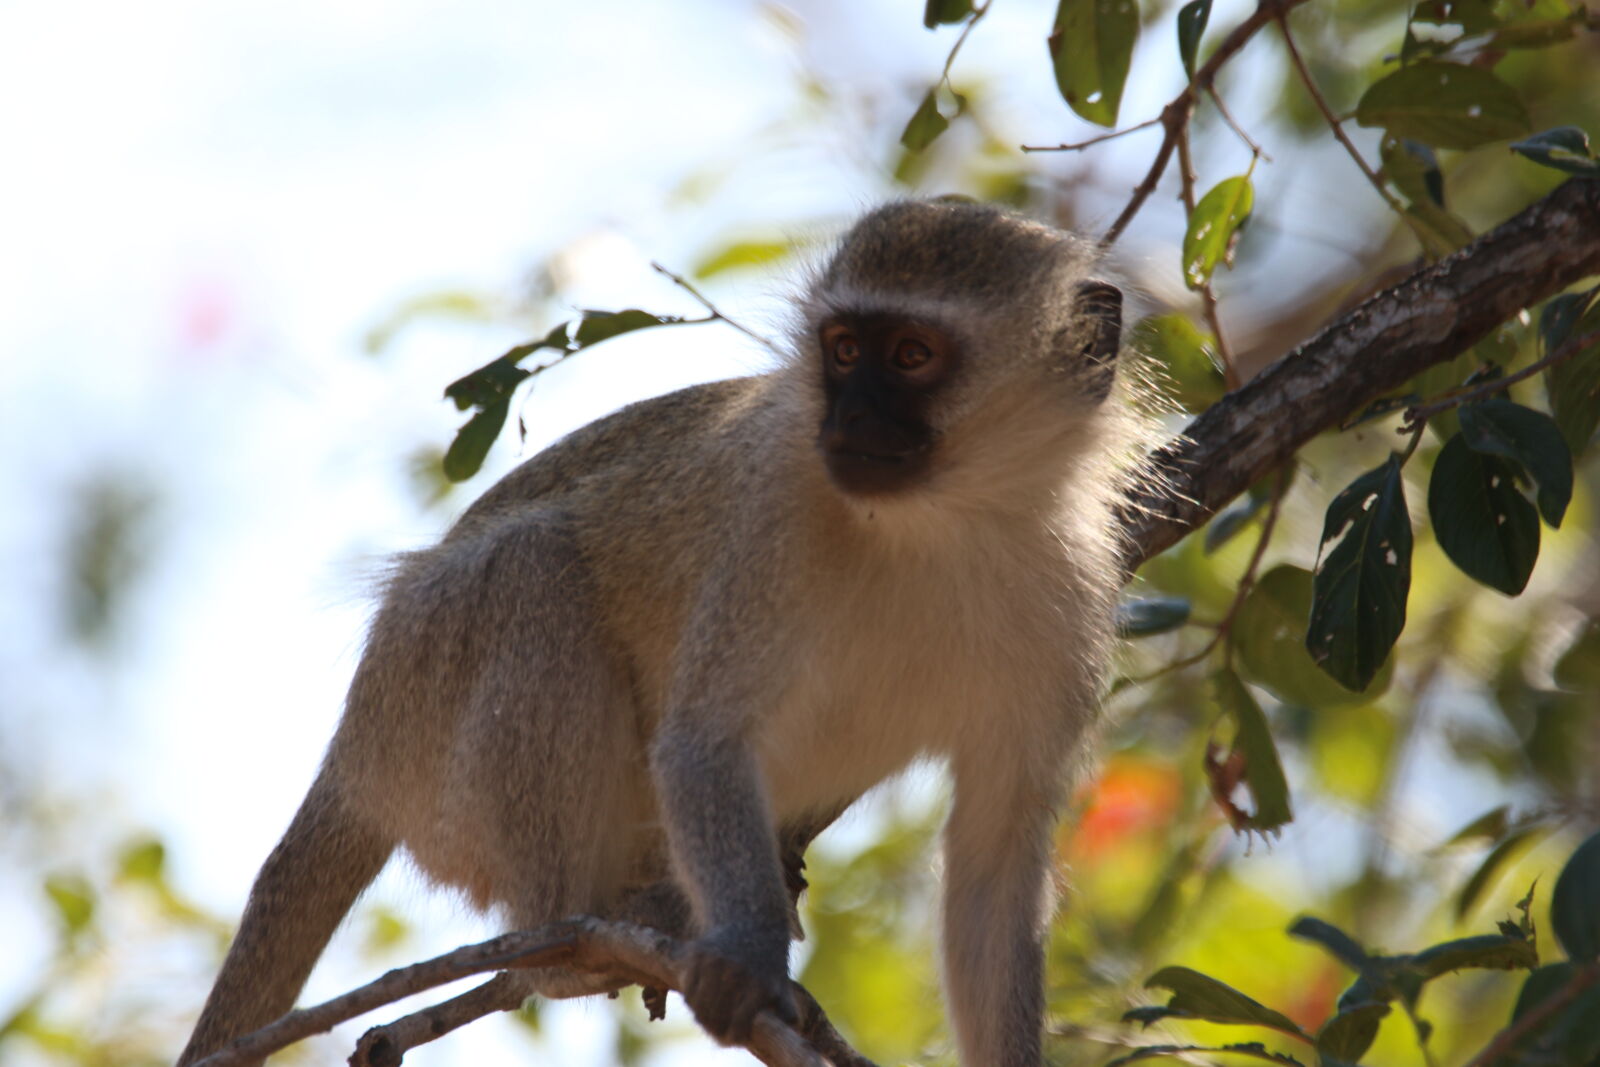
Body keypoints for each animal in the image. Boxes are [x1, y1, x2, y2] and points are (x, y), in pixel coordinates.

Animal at [177, 198, 1147, 1067]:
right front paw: (750, 959)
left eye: (912, 356)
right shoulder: (771, 521)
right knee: (534, 566)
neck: (939, 526)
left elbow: (993, 867)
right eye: (842, 351)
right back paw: (564, 947)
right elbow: (702, 743)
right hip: (427, 702)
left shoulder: (1074, 597)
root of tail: (358, 748)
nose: (847, 420)